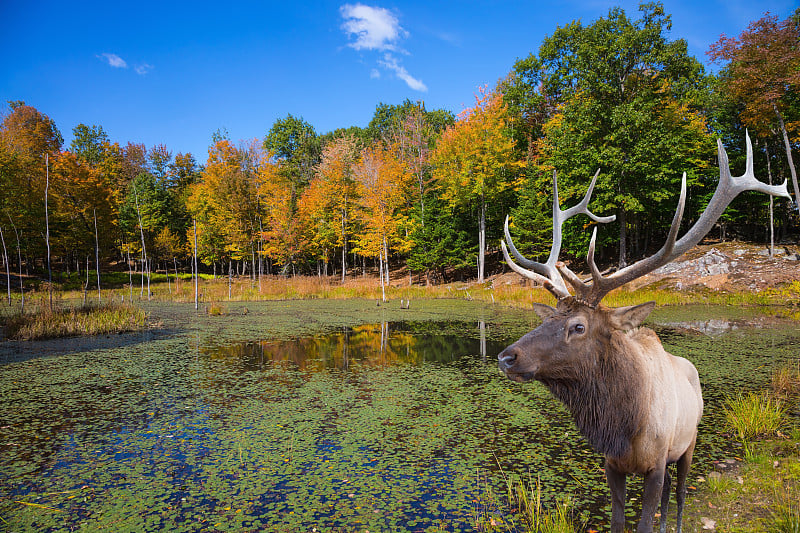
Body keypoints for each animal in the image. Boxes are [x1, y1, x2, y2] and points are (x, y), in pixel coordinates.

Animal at [500, 134, 788, 532]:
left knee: (678, 496)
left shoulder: (657, 463)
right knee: (668, 499)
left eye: (578, 327)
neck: (625, 429)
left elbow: (646, 521)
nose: (506, 356)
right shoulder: (611, 465)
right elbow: (619, 520)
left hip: (689, 443)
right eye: (548, 319)